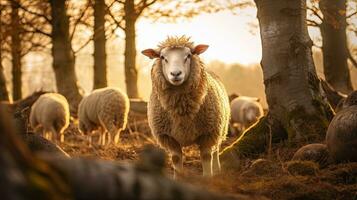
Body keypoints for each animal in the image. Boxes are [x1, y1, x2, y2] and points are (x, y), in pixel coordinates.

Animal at [140, 36, 229, 177]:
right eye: (163, 57)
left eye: (188, 56)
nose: (176, 73)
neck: (181, 109)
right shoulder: (169, 138)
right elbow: (176, 159)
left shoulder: (208, 134)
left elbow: (206, 157)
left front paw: (208, 178)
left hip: (220, 128)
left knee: (216, 150)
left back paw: (217, 171)